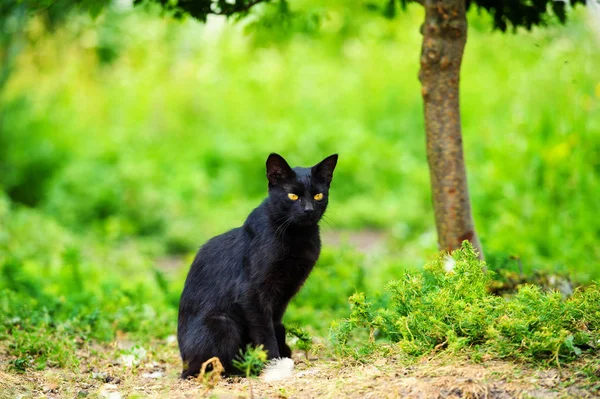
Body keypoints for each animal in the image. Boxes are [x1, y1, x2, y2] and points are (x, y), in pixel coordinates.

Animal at [177, 152, 338, 378]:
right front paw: (272, 362)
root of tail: (183, 364)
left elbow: (275, 324)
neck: (297, 236)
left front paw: (278, 357)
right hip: (221, 322)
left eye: (318, 196)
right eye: (292, 196)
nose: (308, 210)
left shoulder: (283, 294)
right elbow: (264, 330)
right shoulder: (251, 292)